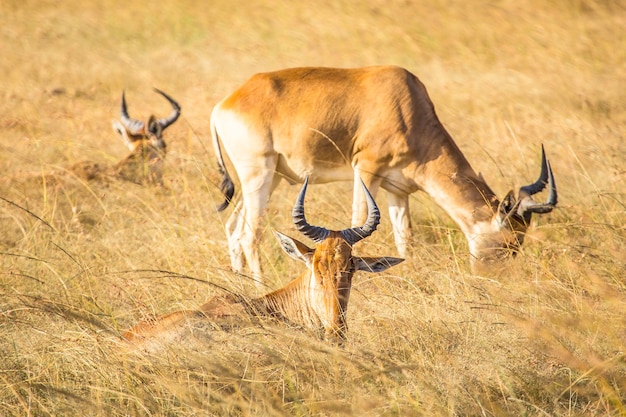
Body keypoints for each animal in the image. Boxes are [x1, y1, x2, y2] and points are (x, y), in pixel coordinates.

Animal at [211, 65, 556, 282]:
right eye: (509, 243)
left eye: (518, 244)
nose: (491, 281)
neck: (406, 102)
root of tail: (224, 104)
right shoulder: (366, 170)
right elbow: (357, 223)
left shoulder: (398, 190)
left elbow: (405, 238)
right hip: (259, 173)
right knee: (250, 234)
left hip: (272, 178)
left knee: (233, 228)